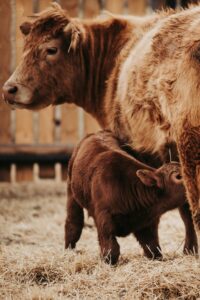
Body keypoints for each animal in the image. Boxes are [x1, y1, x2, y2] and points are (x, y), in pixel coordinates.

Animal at [65, 131, 198, 264]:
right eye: (178, 176)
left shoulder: (147, 224)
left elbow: (153, 248)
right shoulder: (104, 219)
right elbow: (111, 249)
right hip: (72, 192)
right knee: (73, 222)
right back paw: (69, 249)